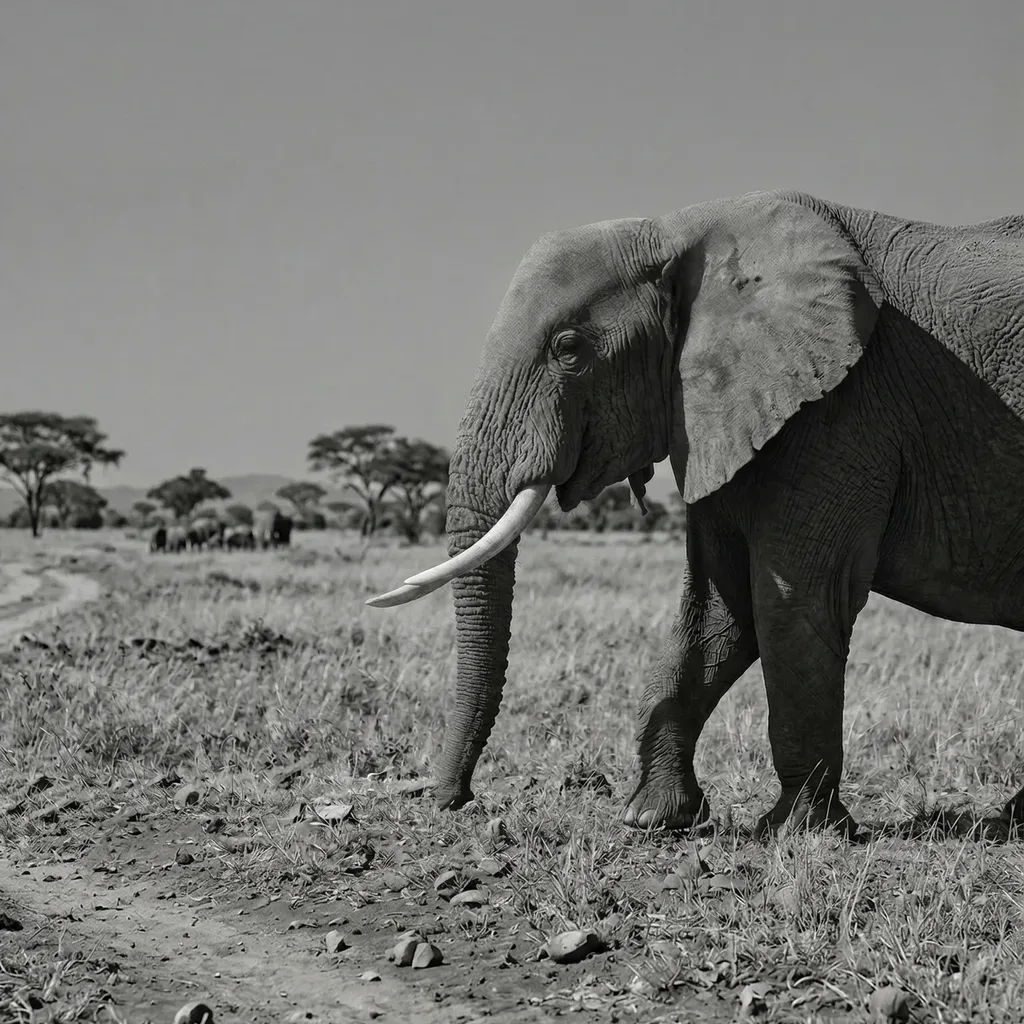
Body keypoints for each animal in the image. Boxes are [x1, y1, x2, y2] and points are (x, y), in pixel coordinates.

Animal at [367, 188, 1024, 840]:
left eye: (569, 349)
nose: (456, 800)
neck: (677, 231)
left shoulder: (845, 411)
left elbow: (795, 604)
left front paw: (794, 830)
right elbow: (719, 610)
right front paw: (655, 818)